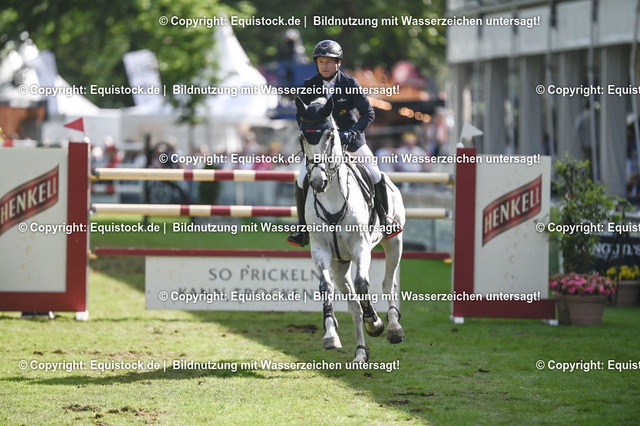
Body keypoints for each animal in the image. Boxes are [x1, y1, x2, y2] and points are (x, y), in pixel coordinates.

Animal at [296, 96, 406, 363]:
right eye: (302, 137)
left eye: (330, 135)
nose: (317, 182)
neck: (332, 196)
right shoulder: (321, 250)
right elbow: (326, 287)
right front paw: (330, 335)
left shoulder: (360, 248)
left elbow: (364, 284)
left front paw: (376, 322)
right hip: (340, 263)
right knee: (353, 305)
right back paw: (360, 353)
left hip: (394, 243)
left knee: (388, 283)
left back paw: (393, 327)